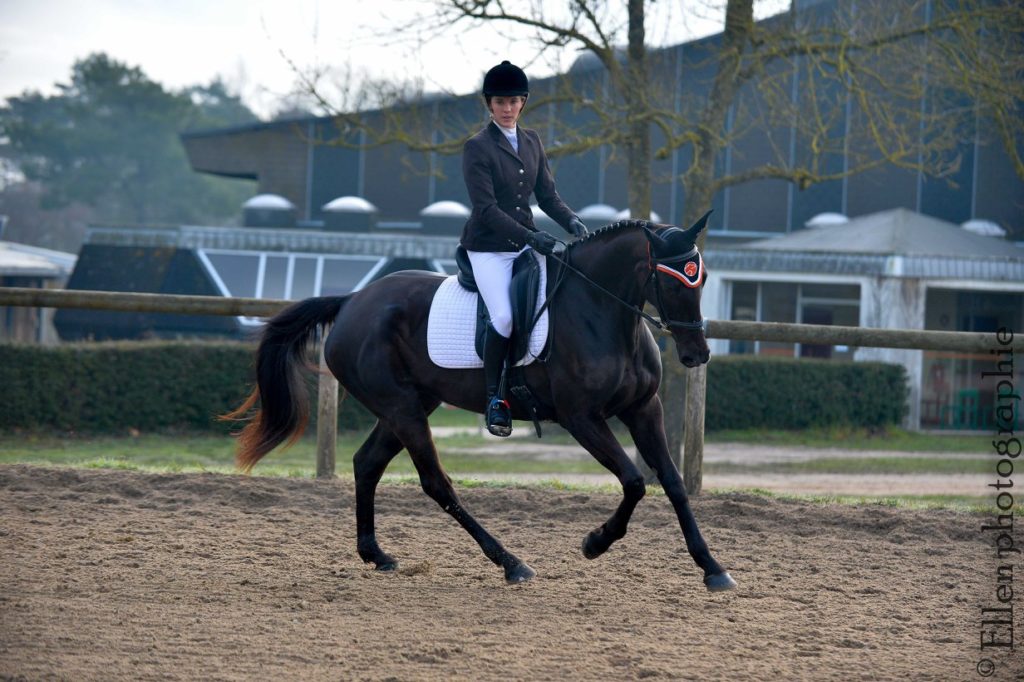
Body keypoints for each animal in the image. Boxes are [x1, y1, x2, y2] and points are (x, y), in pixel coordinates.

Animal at [224, 214, 737, 589]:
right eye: (671, 282)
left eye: (702, 278)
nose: (697, 354)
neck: (603, 311)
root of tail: (352, 300)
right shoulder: (581, 418)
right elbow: (633, 481)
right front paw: (596, 542)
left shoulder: (643, 409)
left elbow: (671, 482)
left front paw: (712, 568)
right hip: (403, 410)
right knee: (437, 483)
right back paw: (511, 562)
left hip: (410, 405)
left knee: (366, 463)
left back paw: (377, 554)